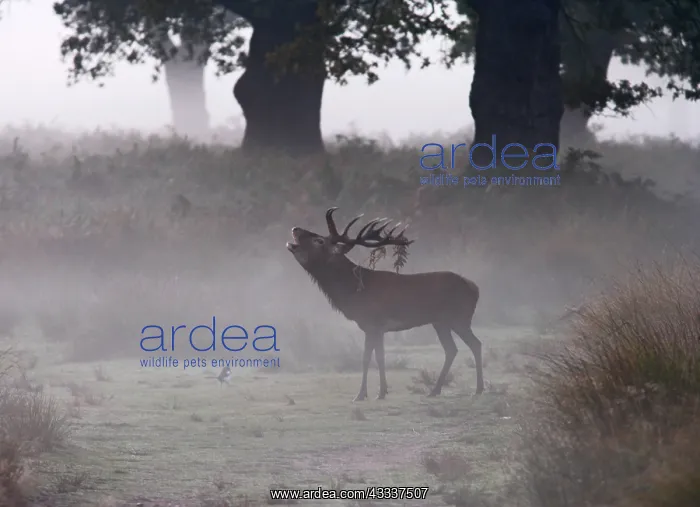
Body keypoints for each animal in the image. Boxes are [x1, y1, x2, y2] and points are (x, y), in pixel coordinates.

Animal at [286, 207, 484, 402]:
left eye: (319, 240)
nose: (295, 228)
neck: (353, 292)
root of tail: (475, 288)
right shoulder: (376, 327)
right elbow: (378, 357)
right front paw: (381, 391)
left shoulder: (373, 322)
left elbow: (368, 358)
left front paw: (363, 394)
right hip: (440, 322)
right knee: (452, 349)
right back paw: (435, 390)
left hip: (459, 317)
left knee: (475, 344)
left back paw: (478, 388)